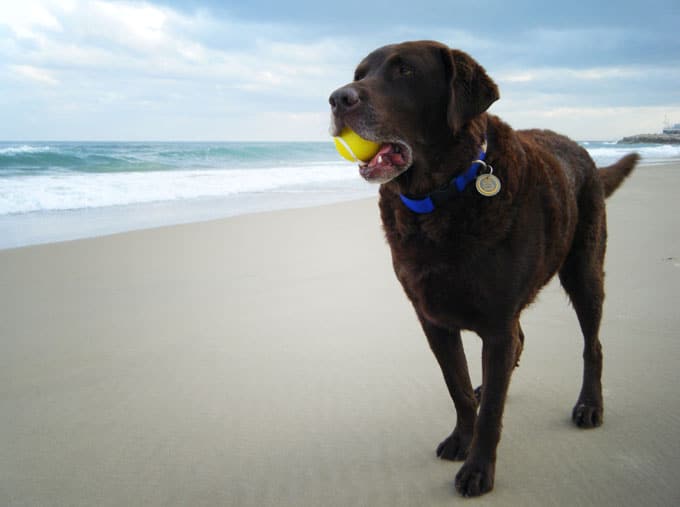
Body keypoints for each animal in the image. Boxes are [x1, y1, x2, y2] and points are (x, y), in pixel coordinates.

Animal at [330, 40, 636, 496]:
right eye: (360, 73)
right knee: (518, 345)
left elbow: (491, 410)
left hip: (584, 271)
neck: (442, 197)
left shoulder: (495, 324)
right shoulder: (433, 319)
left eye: (405, 71)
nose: (337, 98)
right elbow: (457, 386)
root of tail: (581, 149)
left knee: (592, 346)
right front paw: (462, 437)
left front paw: (478, 469)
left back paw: (589, 406)